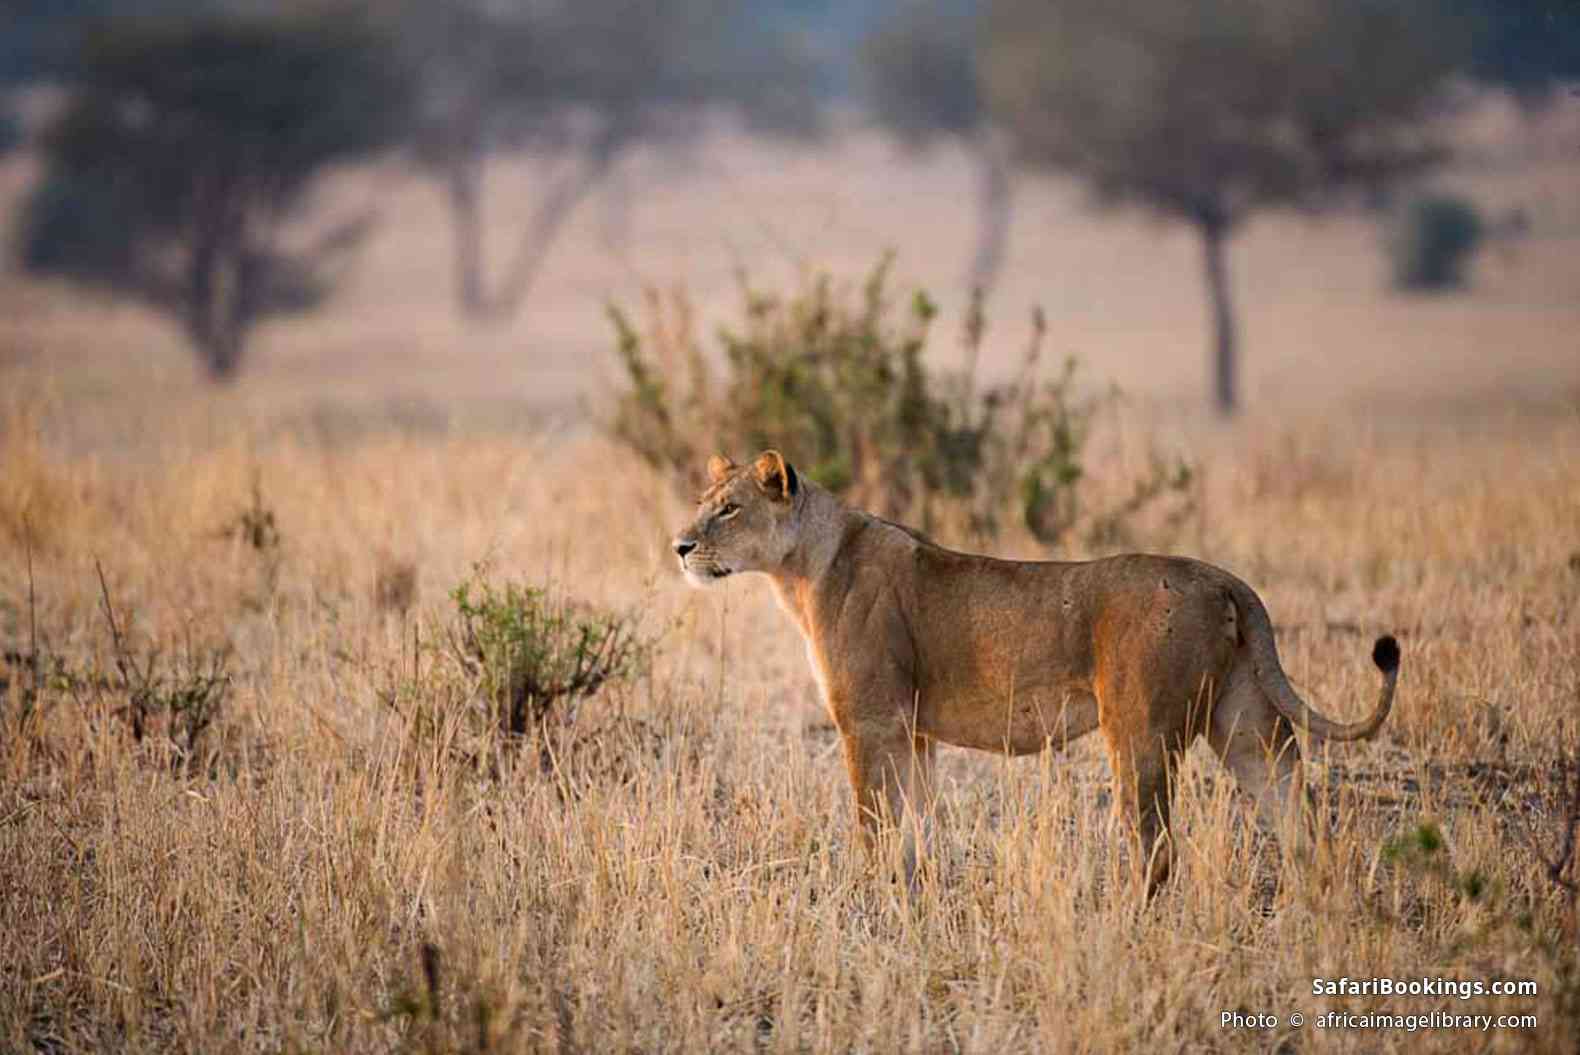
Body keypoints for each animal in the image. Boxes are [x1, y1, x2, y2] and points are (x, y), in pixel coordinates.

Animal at [672, 450, 1400, 894]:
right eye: (703, 501)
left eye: (729, 508)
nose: (679, 545)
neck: (802, 568)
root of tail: (1224, 578)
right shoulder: (913, 732)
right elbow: (920, 823)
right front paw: (920, 894)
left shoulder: (868, 721)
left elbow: (872, 822)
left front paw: (865, 894)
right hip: (1244, 721)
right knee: (1297, 811)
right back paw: (1316, 901)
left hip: (1139, 729)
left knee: (1158, 845)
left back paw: (1125, 922)